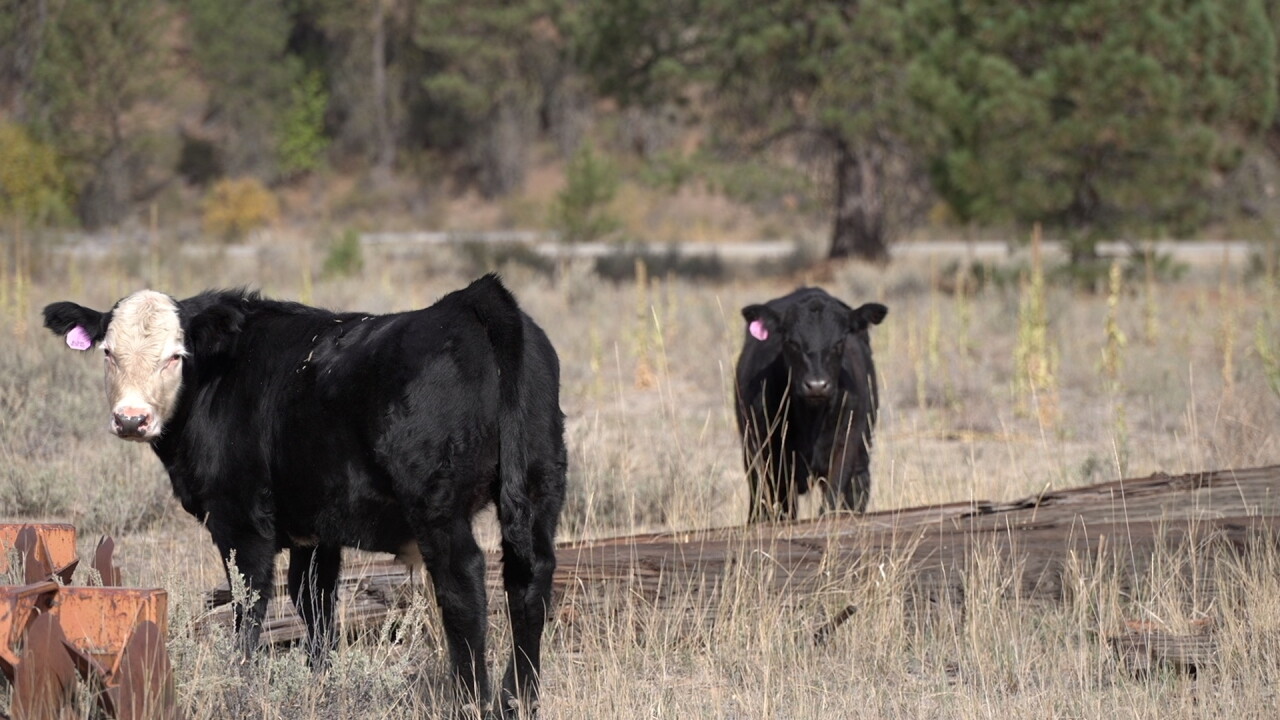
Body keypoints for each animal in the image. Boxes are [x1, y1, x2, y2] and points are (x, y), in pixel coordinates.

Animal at [43, 274, 566, 718]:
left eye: (176, 355)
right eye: (108, 353)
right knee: (529, 580)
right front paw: (321, 682)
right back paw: (520, 699)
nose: (131, 419)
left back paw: (471, 701)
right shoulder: (316, 528)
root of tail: (471, 300)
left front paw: (241, 682)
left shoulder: (240, 521)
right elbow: (314, 603)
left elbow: (250, 602)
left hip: (437, 505)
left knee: (464, 585)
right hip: (540, 484)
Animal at [734, 287, 887, 522]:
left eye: (839, 342)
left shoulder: (845, 444)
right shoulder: (769, 453)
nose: (817, 385)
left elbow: (832, 501)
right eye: (792, 342)